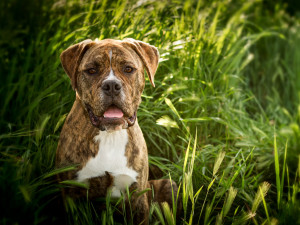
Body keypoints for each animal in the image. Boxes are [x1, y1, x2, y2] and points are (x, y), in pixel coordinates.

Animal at [55, 38, 179, 223]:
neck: (109, 135)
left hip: (169, 185)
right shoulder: (70, 195)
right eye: (91, 70)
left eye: (128, 69)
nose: (111, 85)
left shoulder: (137, 197)